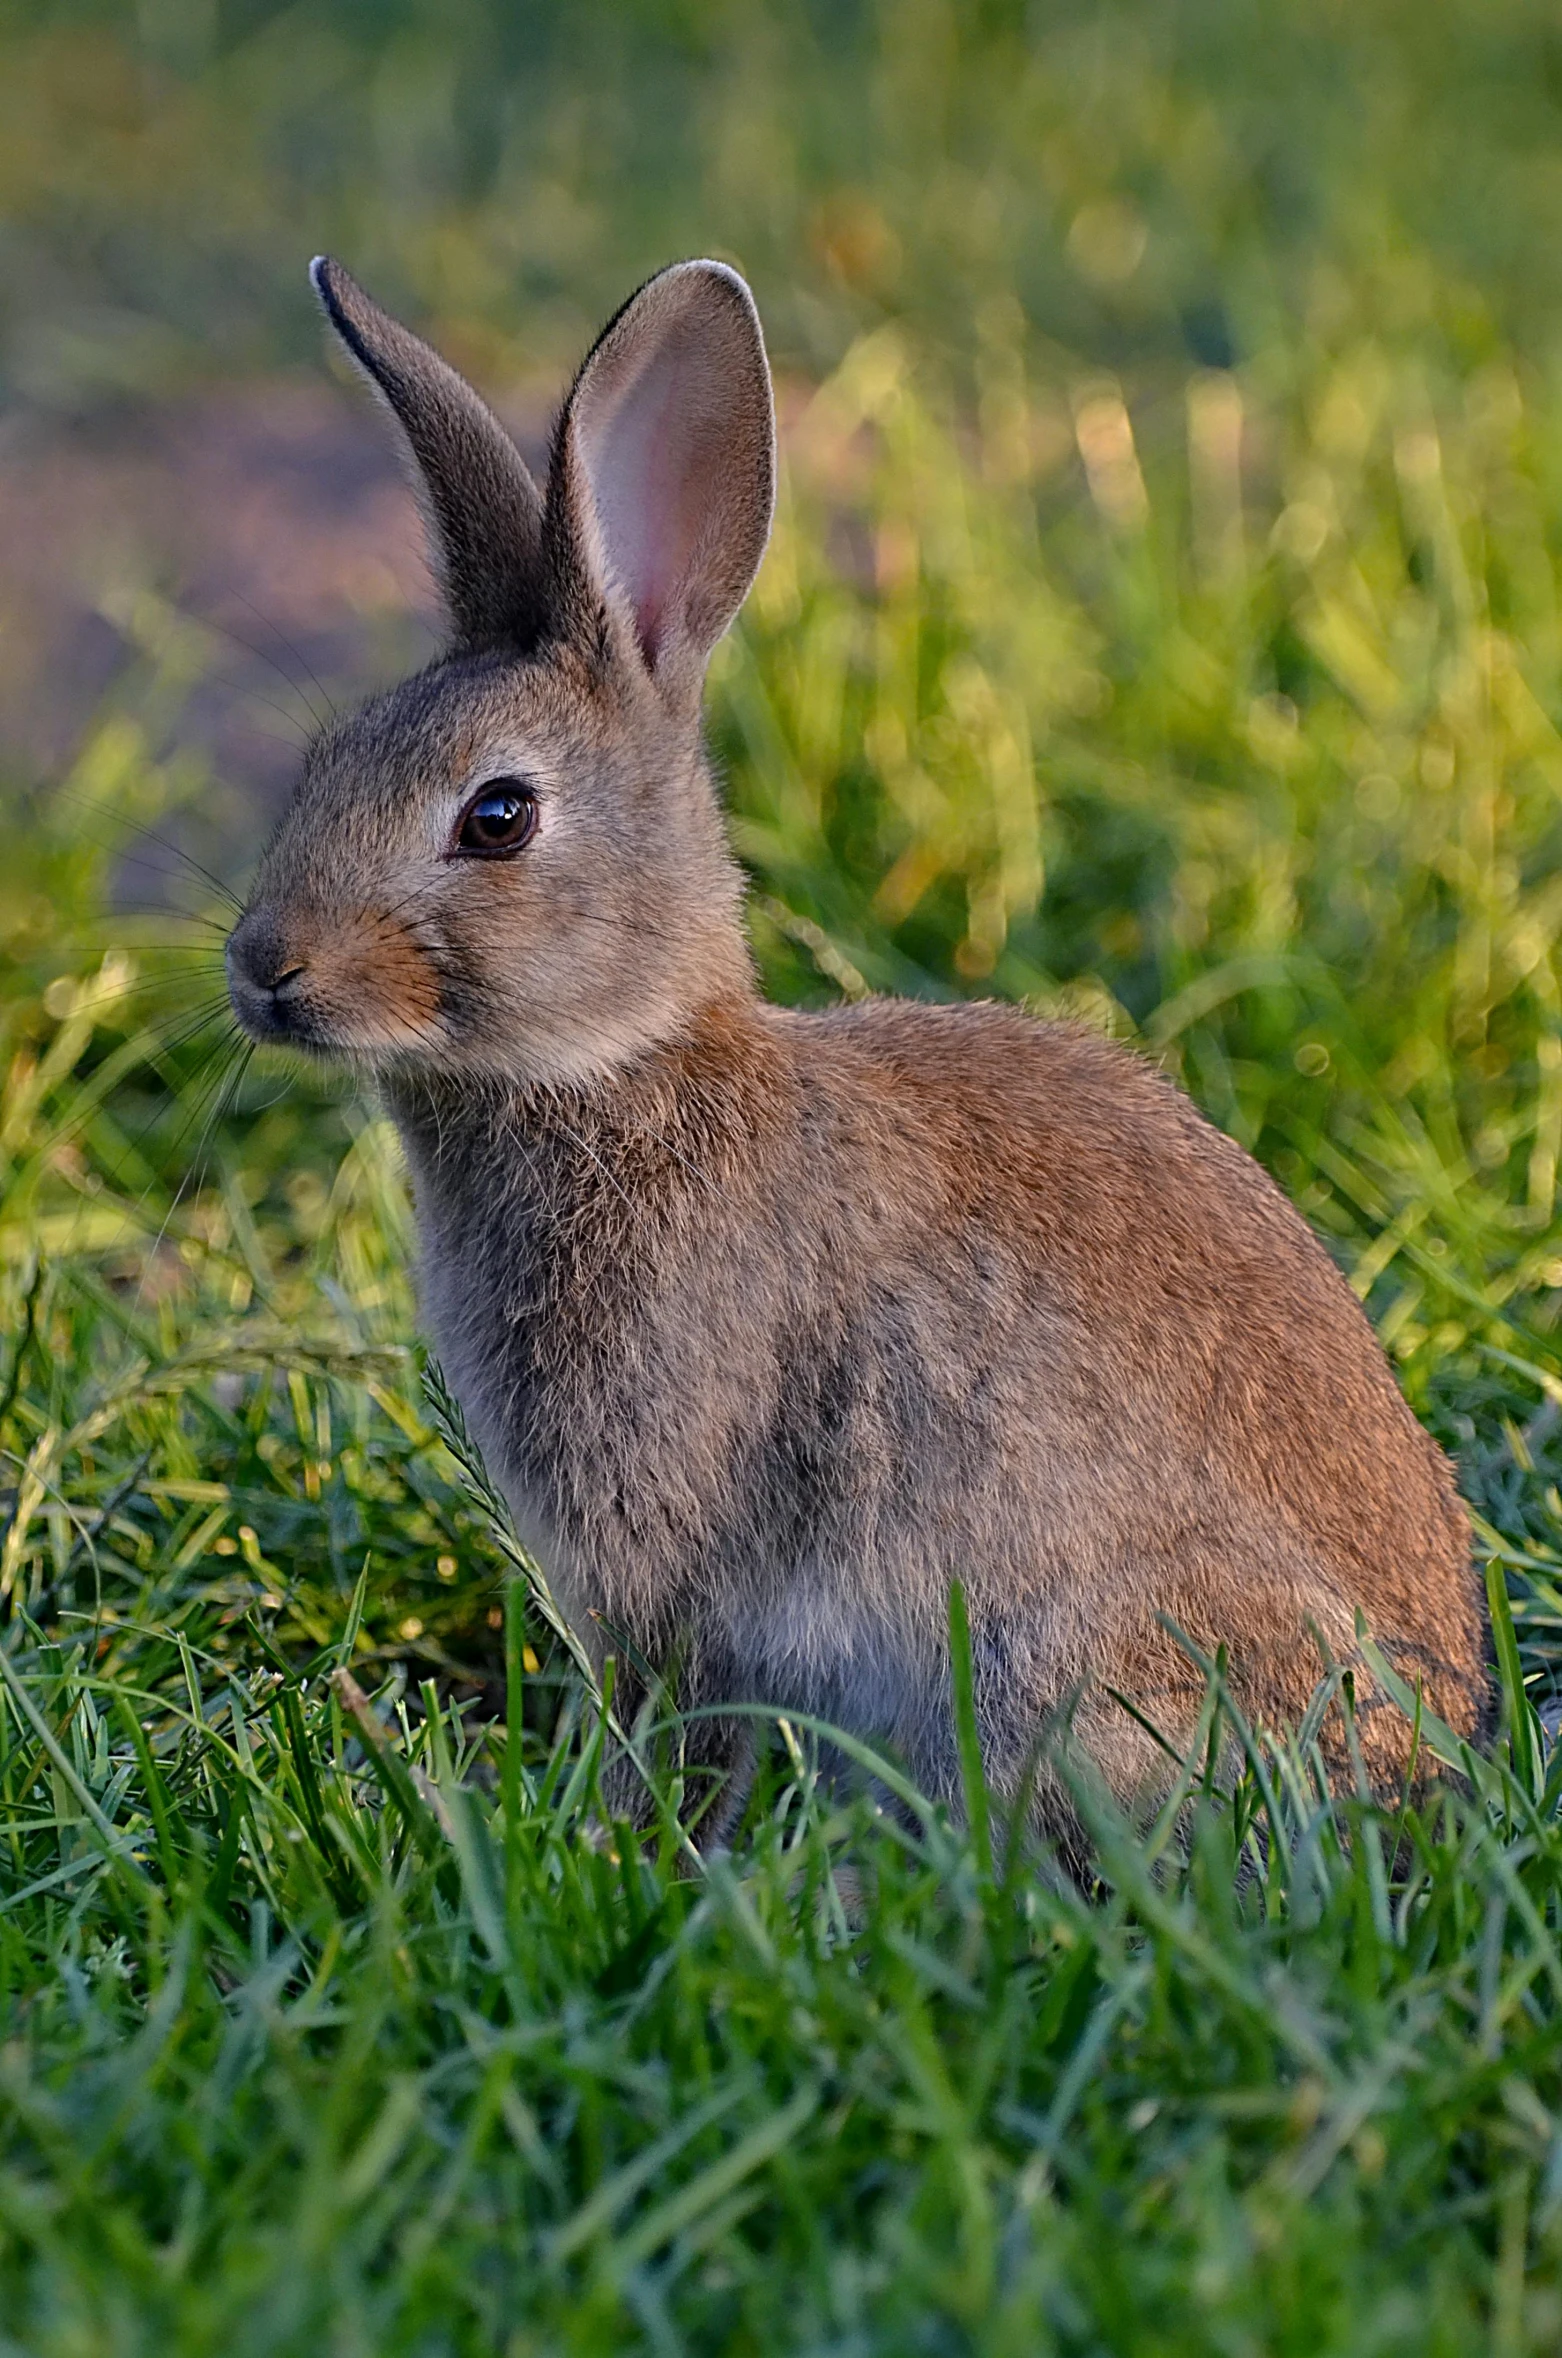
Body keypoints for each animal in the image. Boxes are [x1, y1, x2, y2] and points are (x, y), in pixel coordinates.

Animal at [222, 258, 1491, 1839]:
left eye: (496, 817)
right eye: (321, 762)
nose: (265, 970)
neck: (630, 1064)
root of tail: (1415, 1761)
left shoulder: (672, 1556)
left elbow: (668, 1709)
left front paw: (625, 1836)